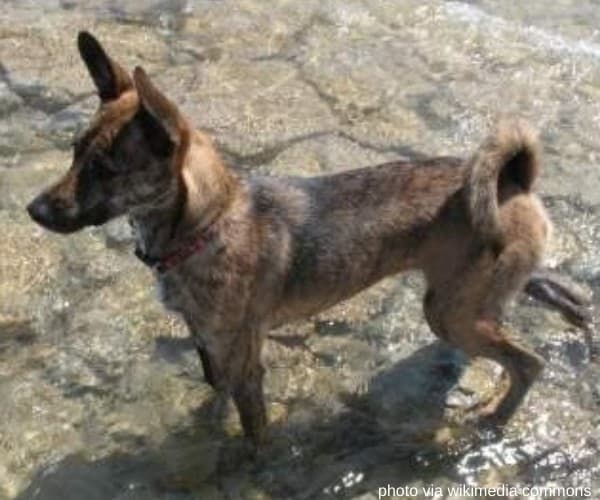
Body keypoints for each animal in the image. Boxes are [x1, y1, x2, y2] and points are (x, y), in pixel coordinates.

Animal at [28, 31, 592, 446]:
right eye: (74, 152)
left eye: (105, 169)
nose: (33, 210)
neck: (207, 226)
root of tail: (513, 180)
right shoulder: (206, 343)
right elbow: (212, 397)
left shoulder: (243, 362)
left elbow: (253, 435)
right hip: (474, 298)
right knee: (530, 304)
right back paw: (569, 315)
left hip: (451, 312)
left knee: (529, 362)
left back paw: (498, 417)